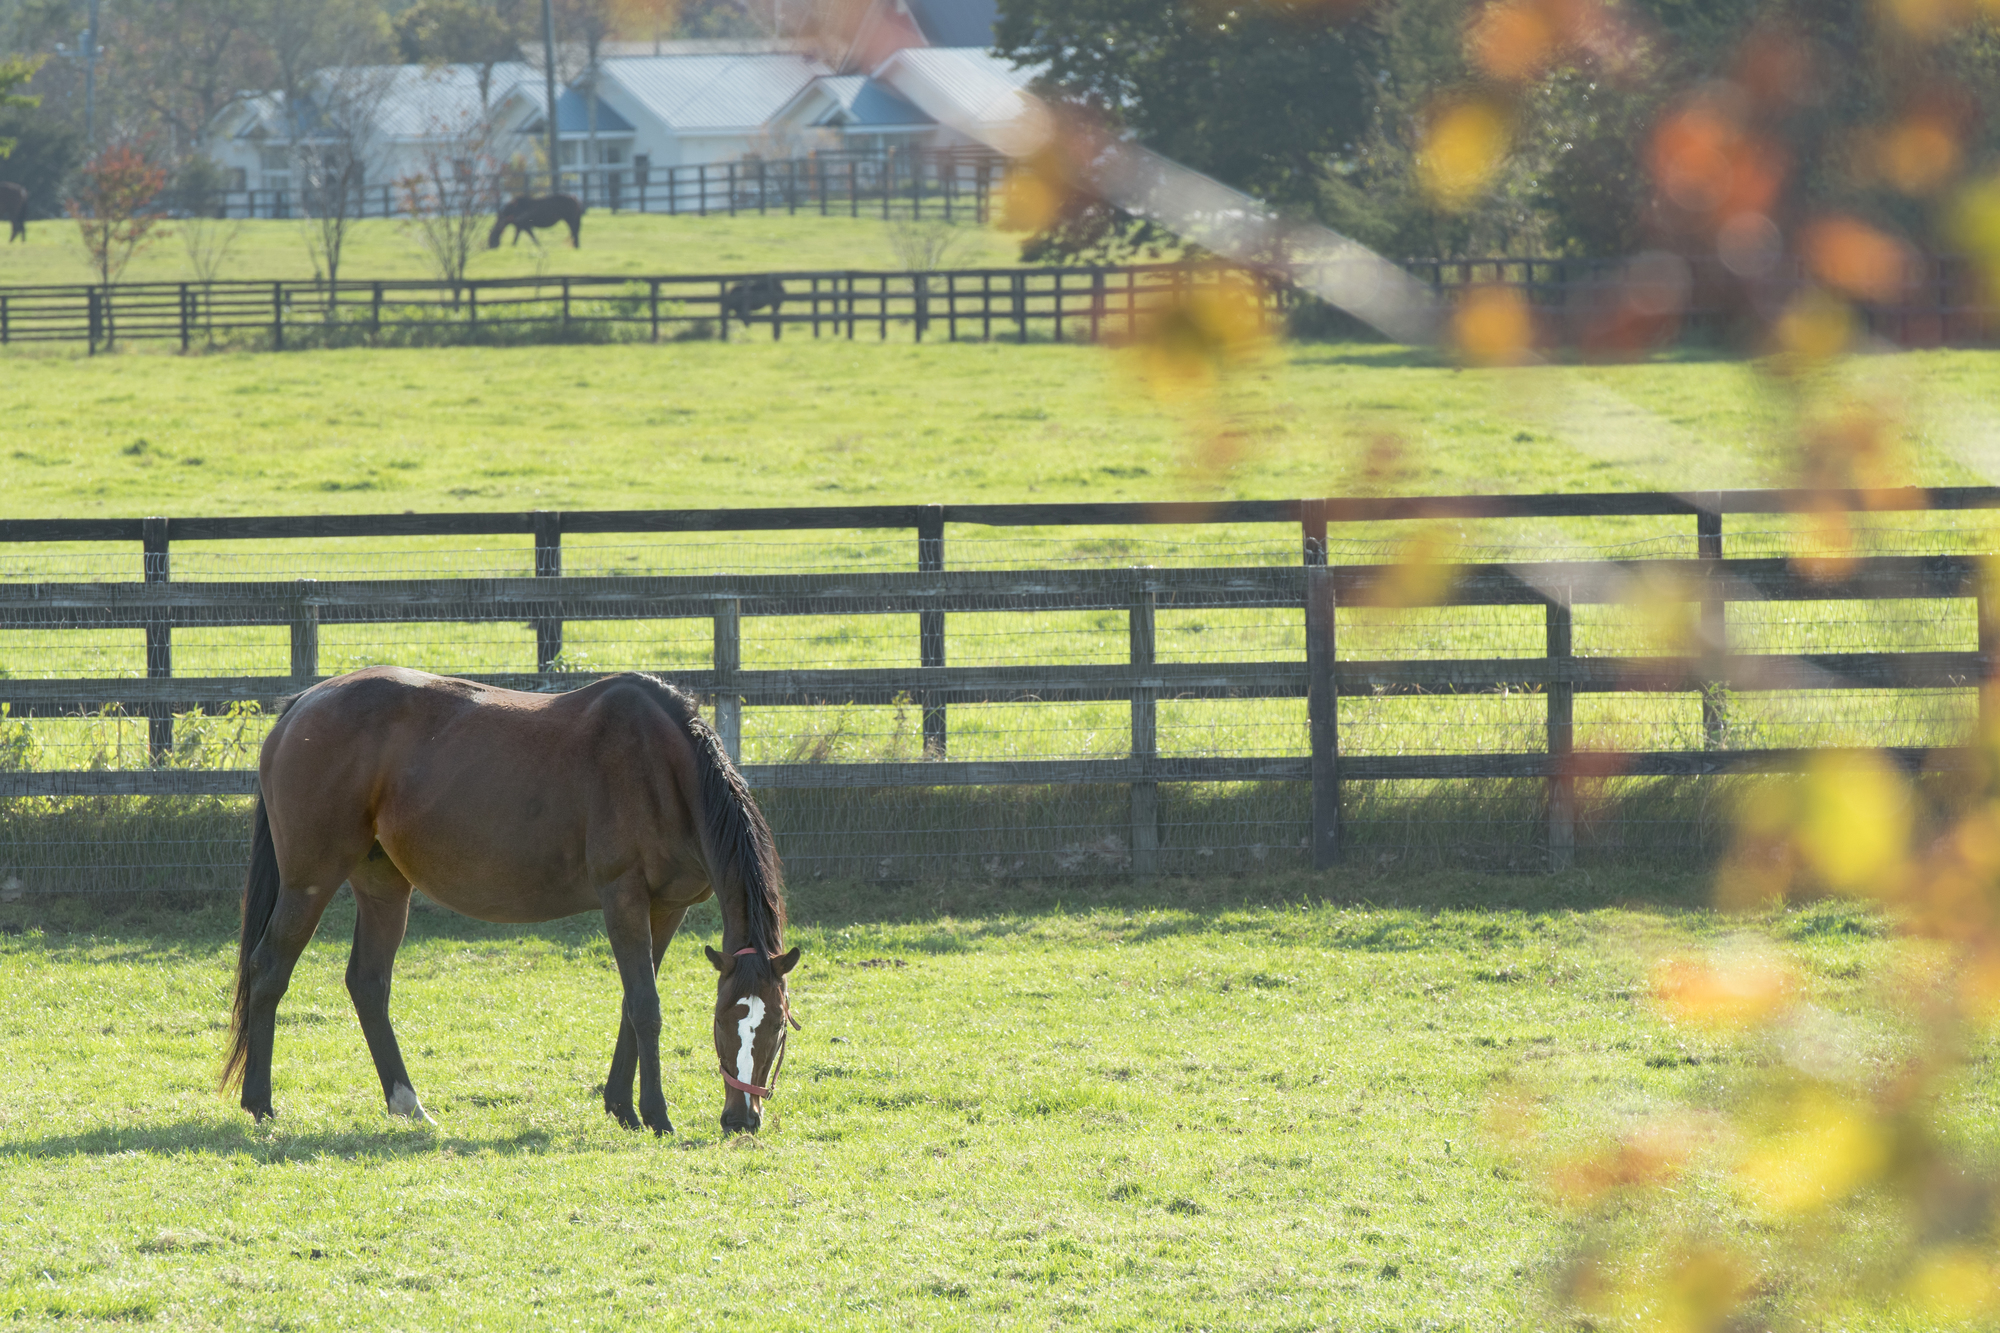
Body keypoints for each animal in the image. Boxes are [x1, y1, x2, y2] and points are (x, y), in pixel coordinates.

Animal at [221, 668, 799, 1137]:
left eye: (775, 1025)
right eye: (724, 1021)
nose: (742, 1120)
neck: (664, 767)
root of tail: (304, 702)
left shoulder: (667, 908)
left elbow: (631, 1005)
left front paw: (622, 1108)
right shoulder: (624, 898)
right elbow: (646, 1006)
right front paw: (655, 1116)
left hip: (383, 885)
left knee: (368, 984)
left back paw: (409, 1105)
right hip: (310, 882)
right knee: (269, 968)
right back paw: (261, 1105)